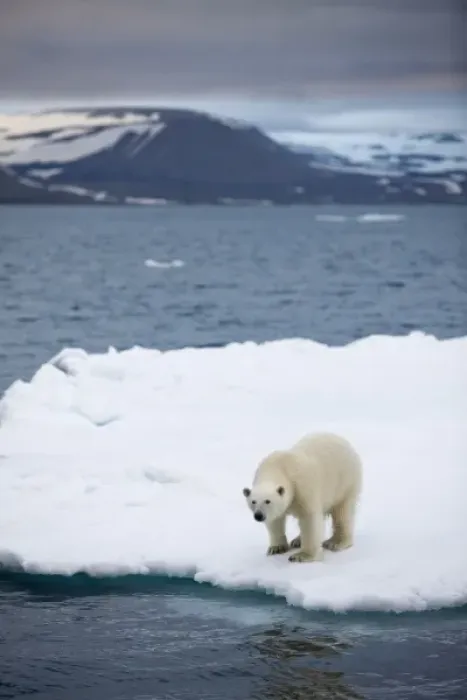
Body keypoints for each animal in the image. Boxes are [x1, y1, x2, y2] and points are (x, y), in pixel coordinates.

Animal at [242, 431, 362, 563]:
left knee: (342, 511)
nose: (258, 515)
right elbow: (275, 521)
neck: (278, 467)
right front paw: (276, 548)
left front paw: (302, 556)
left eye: (267, 501)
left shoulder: (302, 487)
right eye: (253, 502)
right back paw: (297, 541)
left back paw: (335, 542)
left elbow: (309, 518)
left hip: (345, 481)